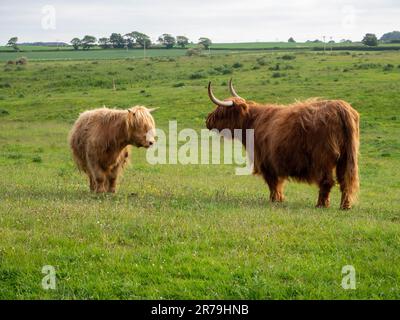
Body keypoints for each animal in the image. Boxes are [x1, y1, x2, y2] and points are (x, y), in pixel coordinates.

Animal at [206, 80, 360, 210]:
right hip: (346, 157)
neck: (252, 122)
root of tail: (340, 107)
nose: (207, 120)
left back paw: (321, 205)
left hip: (323, 158)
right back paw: (345, 206)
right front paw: (279, 199)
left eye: (221, 112)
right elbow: (278, 183)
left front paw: (275, 200)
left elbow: (273, 183)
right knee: (345, 181)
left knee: (327, 181)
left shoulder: (266, 162)